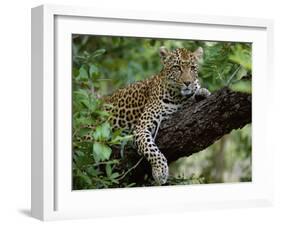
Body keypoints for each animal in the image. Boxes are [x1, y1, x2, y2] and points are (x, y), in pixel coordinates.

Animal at [100, 46, 210, 185]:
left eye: (192, 68)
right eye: (177, 67)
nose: (188, 82)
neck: (179, 97)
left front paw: (201, 92)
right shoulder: (141, 128)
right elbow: (152, 149)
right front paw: (160, 171)